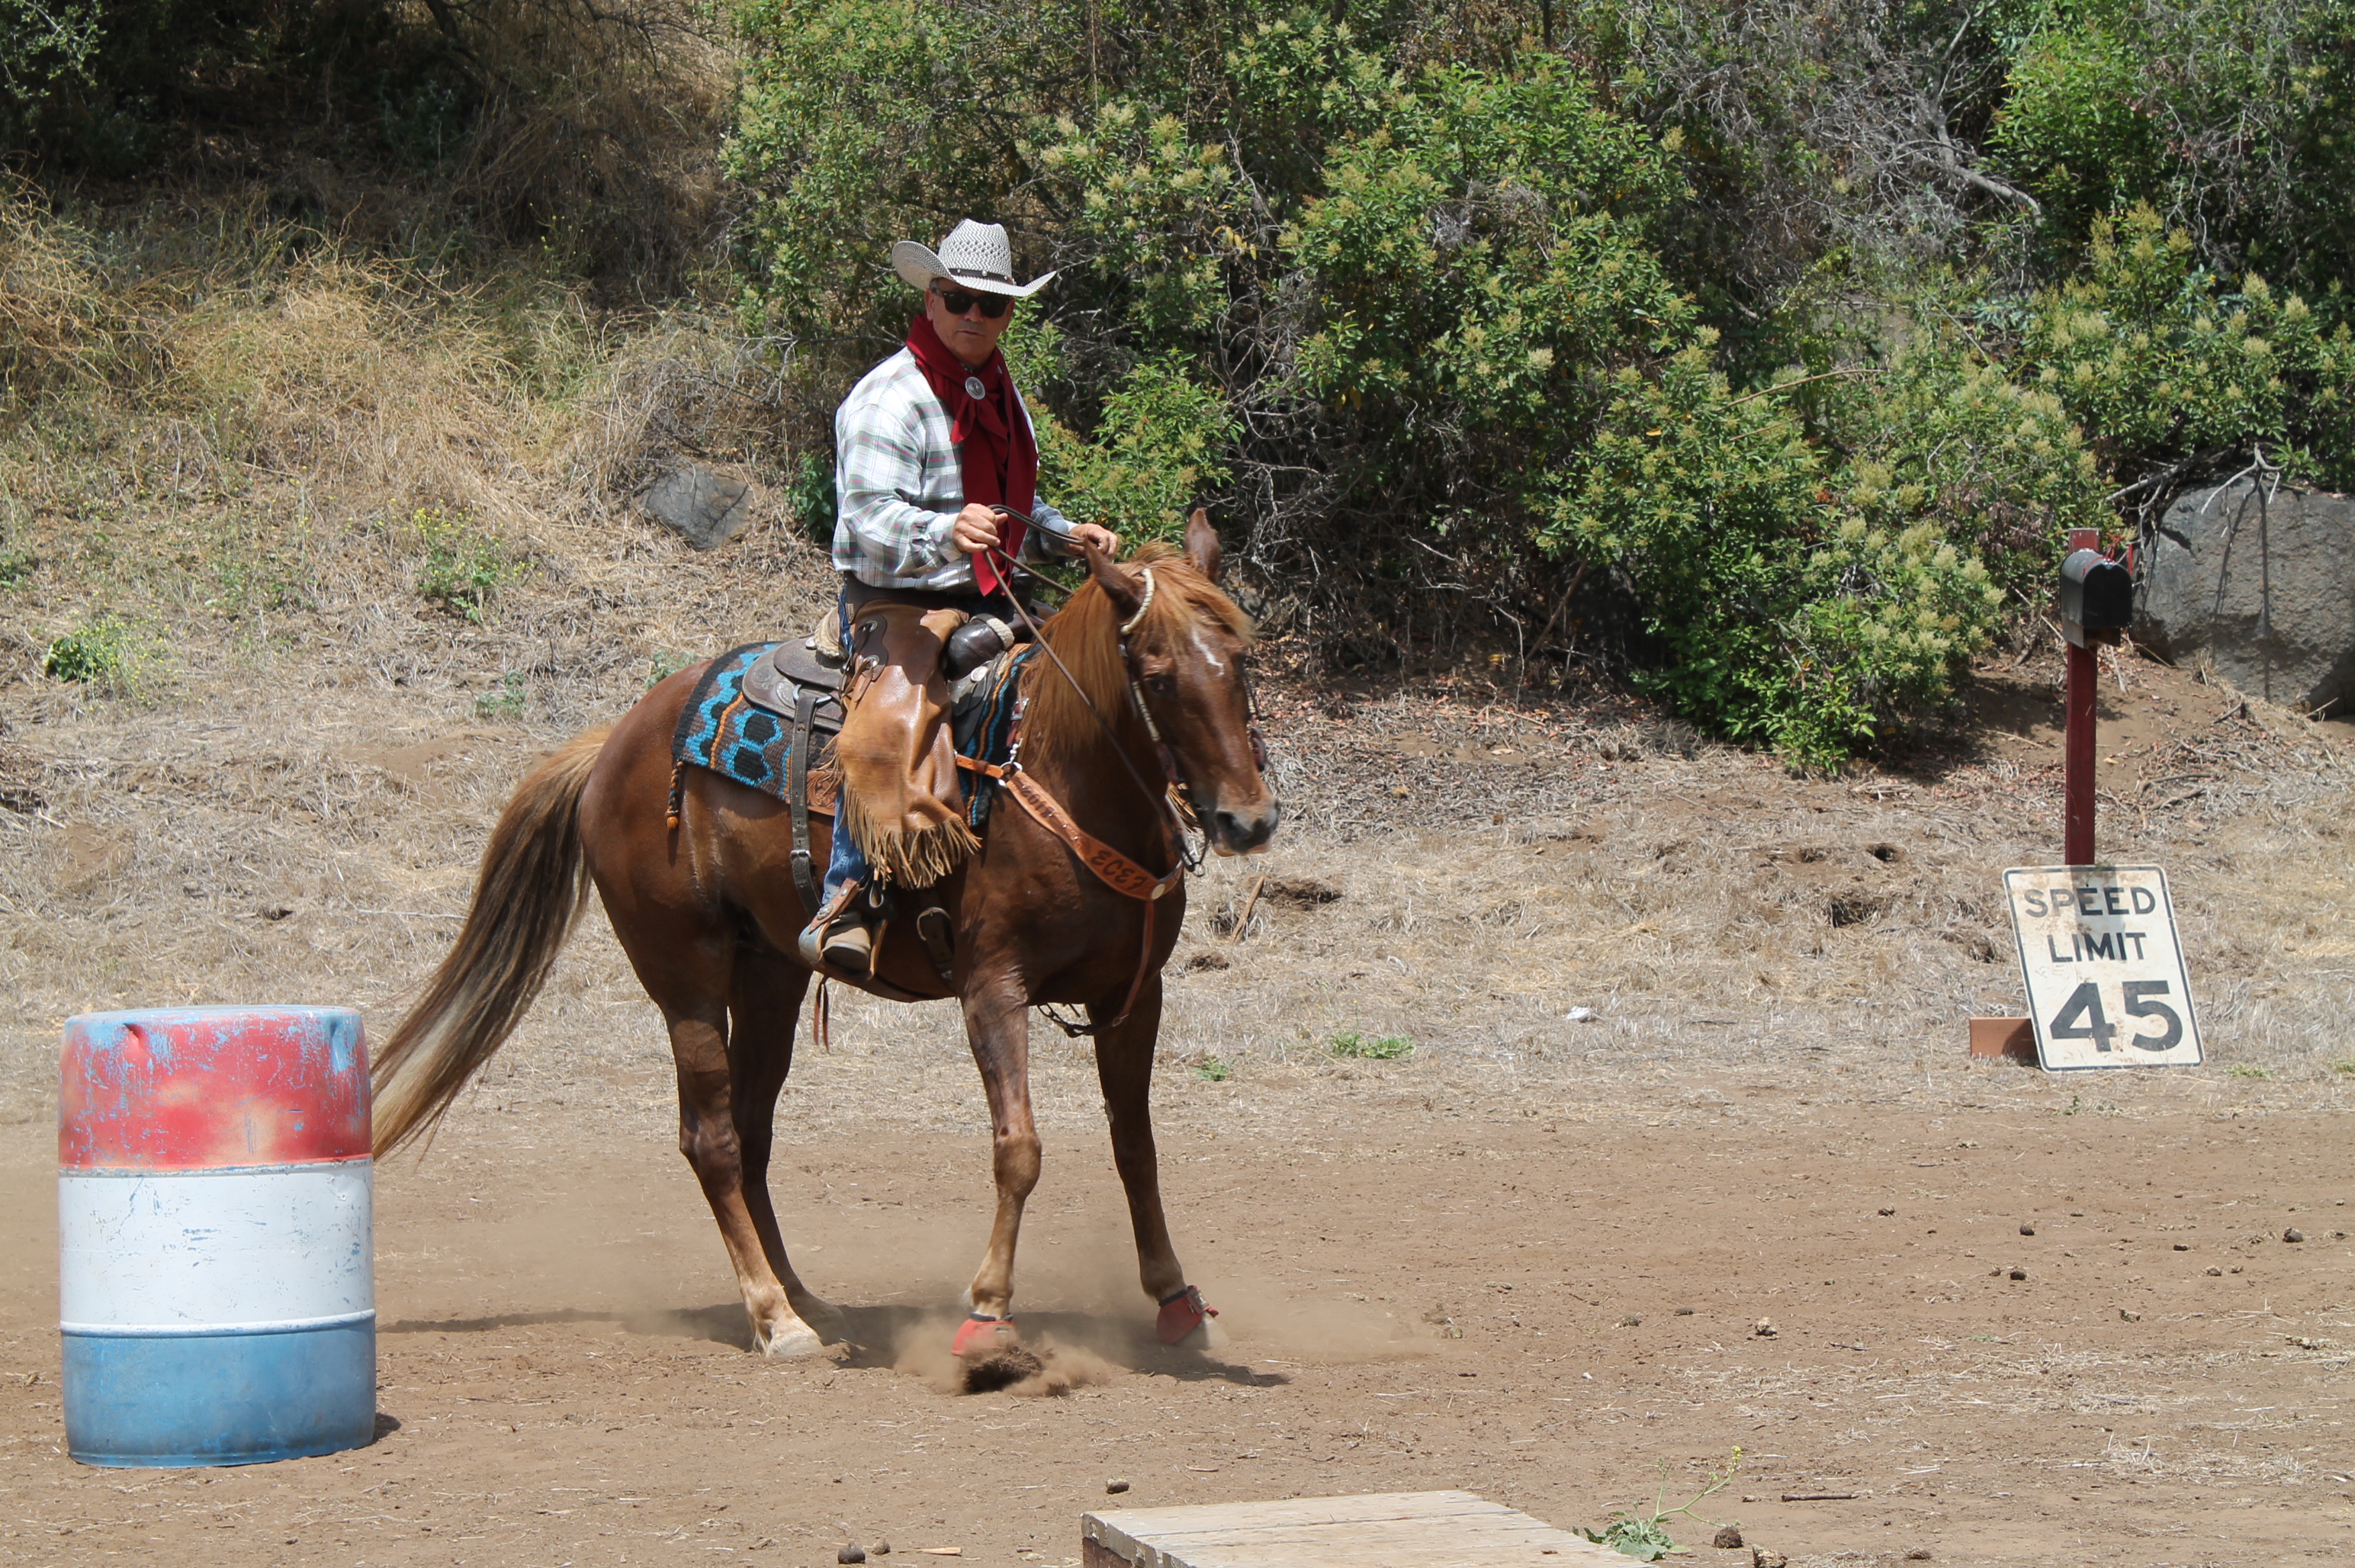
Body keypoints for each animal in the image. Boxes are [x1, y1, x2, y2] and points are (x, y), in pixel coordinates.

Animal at [369, 518, 1280, 1346]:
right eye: (1156, 677)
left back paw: (803, 1298)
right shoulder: (993, 987)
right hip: (684, 975)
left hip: (769, 973)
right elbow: (1018, 1148)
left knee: (752, 1132)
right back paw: (774, 1317)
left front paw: (1175, 1298)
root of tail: (611, 745)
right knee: (711, 1139)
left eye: (1238, 661)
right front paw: (988, 1313)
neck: (1060, 772)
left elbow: (1137, 1146)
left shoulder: (1133, 996)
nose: (1248, 820)